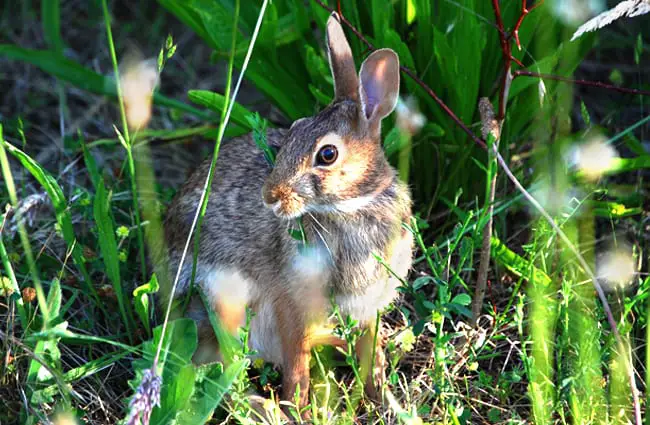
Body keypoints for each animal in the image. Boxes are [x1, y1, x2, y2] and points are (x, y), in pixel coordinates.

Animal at [158, 12, 410, 410]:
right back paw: (263, 407)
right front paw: (299, 406)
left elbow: (368, 350)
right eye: (293, 130)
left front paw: (383, 397)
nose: (270, 196)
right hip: (224, 301)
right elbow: (296, 361)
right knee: (217, 368)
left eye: (327, 154)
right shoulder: (291, 300)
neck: (350, 207)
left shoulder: (367, 305)